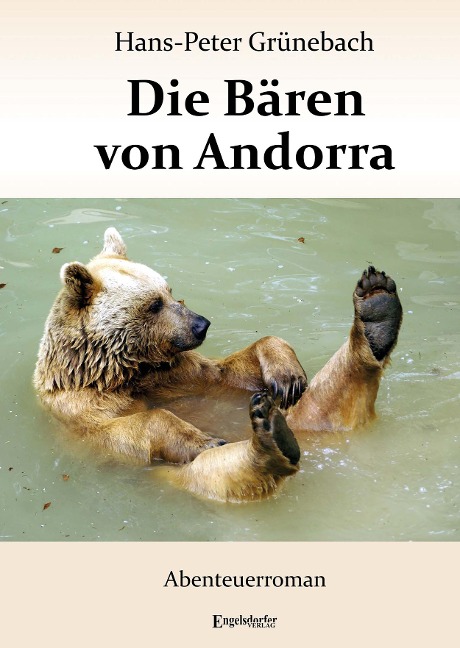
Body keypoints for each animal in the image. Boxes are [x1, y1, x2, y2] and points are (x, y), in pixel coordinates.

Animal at [34, 228, 402, 503]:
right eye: (153, 304)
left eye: (169, 290)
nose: (201, 324)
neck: (123, 371)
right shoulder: (82, 411)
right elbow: (132, 427)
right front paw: (204, 440)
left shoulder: (181, 375)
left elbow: (230, 371)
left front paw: (287, 375)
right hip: (176, 478)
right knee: (215, 474)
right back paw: (271, 439)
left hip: (308, 413)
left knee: (328, 396)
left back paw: (377, 309)